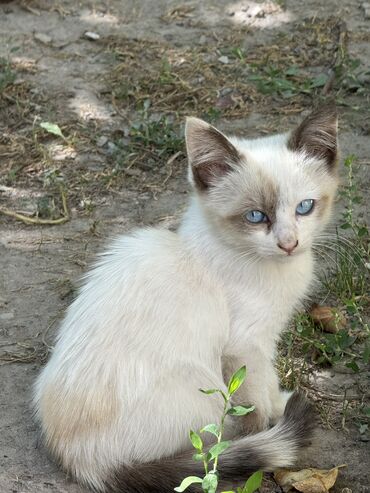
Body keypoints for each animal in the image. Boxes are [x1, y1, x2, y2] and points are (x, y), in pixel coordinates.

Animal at [34, 104, 338, 492]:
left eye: (305, 207)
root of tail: (86, 463)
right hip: (202, 385)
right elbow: (260, 394)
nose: (289, 244)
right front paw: (276, 411)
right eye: (256, 216)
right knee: (206, 448)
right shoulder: (247, 346)